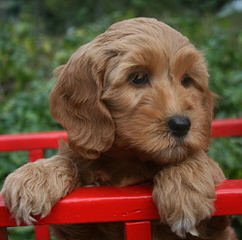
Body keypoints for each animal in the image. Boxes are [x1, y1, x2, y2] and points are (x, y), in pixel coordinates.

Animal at [0, 17, 237, 240]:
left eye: (187, 80)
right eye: (138, 78)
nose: (181, 125)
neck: (128, 160)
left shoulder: (216, 226)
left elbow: (197, 159)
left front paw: (184, 186)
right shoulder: (78, 226)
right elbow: (70, 160)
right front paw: (34, 176)